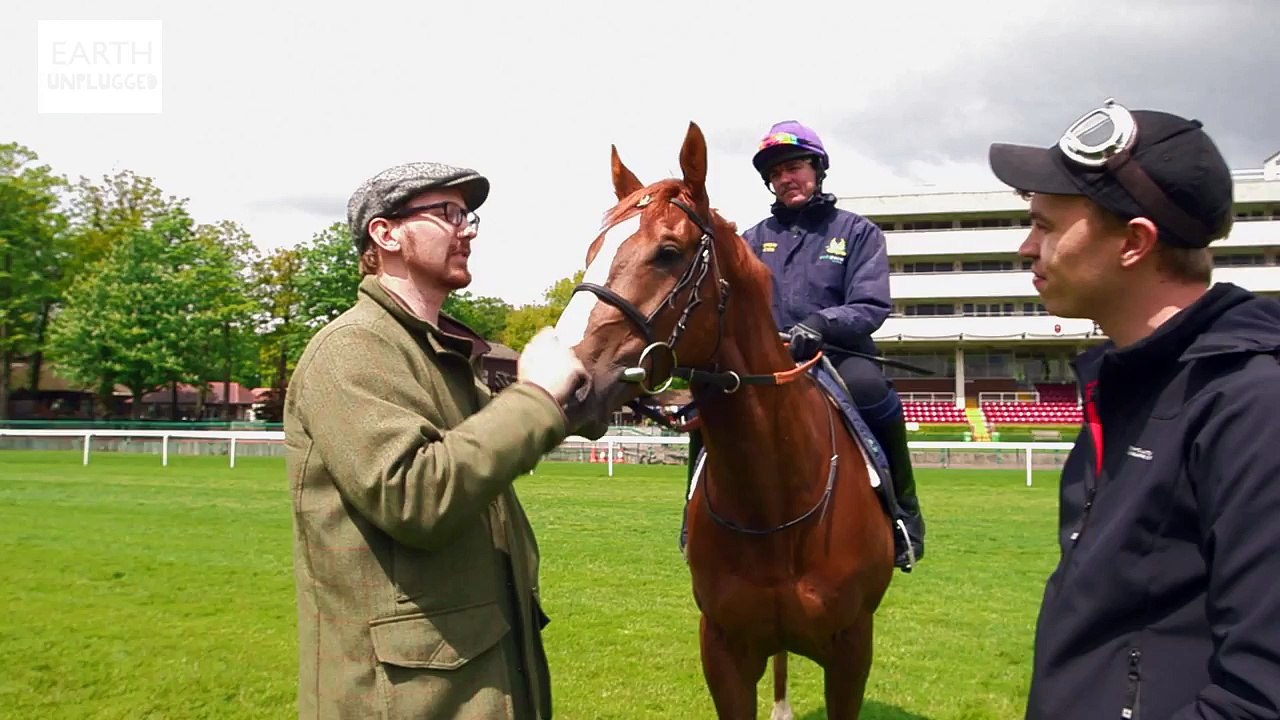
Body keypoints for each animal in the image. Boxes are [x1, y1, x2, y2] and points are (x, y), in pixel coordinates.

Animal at [554, 121, 895, 719]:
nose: (566, 373)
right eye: (594, 250)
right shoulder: (723, 650)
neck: (774, 509)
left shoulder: (852, 652)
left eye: (668, 252)